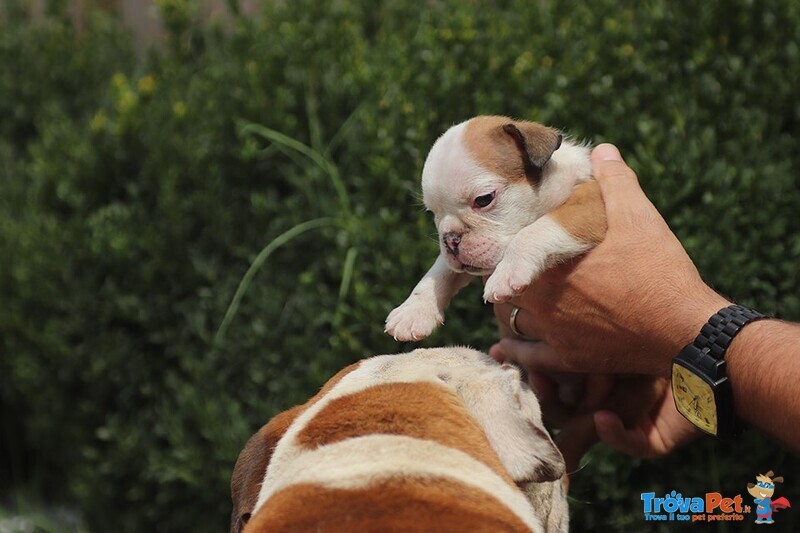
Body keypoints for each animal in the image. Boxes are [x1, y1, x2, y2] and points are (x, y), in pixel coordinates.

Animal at [384, 116, 604, 340]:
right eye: (433, 213)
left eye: (484, 199)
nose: (450, 239)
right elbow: (441, 268)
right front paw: (414, 309)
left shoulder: (587, 206)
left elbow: (535, 230)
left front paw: (507, 273)